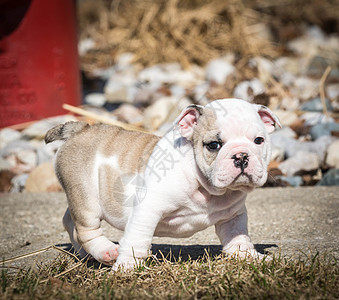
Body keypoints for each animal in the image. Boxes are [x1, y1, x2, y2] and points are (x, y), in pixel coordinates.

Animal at [45, 98, 280, 270]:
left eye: (259, 140)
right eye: (213, 145)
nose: (241, 156)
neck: (205, 186)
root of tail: (80, 129)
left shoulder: (233, 216)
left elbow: (238, 237)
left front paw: (250, 257)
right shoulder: (147, 210)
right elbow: (136, 241)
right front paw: (126, 268)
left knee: (70, 222)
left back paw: (87, 255)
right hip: (86, 197)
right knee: (86, 229)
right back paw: (106, 251)